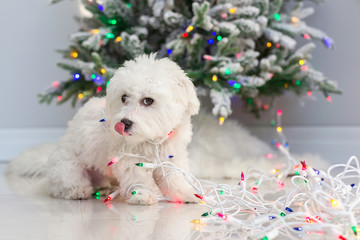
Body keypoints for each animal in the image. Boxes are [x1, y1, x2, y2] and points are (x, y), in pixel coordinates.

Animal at [44, 54, 201, 204]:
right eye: (124, 97)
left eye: (148, 100)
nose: (124, 122)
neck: (152, 138)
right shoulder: (130, 160)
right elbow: (139, 179)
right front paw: (143, 195)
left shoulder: (172, 157)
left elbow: (176, 178)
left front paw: (185, 193)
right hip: (69, 168)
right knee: (63, 185)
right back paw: (77, 191)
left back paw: (105, 189)